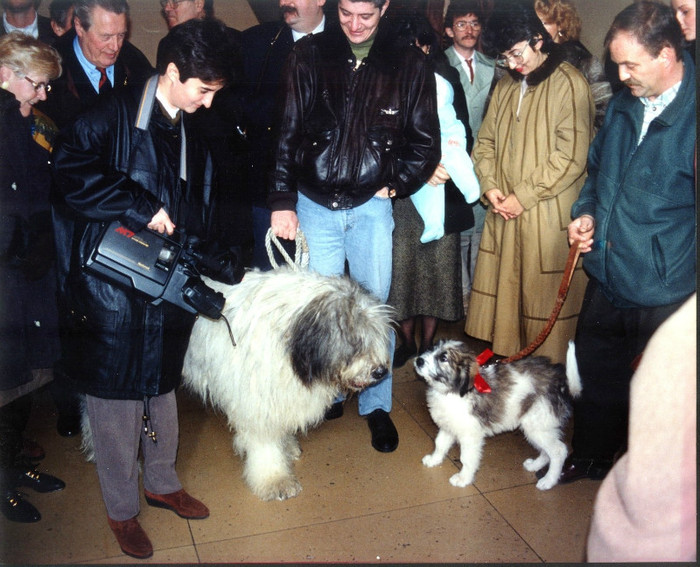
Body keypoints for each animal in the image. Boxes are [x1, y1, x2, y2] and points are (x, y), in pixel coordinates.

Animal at [180, 270, 394, 502]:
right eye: (355, 340)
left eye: (377, 336)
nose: (380, 372)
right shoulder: (257, 401)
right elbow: (264, 445)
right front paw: (274, 481)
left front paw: (287, 445)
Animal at [412, 340, 584, 490]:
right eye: (432, 348)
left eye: (443, 358)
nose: (419, 360)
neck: (452, 391)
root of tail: (561, 382)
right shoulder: (449, 425)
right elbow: (440, 444)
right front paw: (434, 460)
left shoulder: (470, 434)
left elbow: (466, 458)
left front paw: (463, 478)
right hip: (541, 426)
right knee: (547, 451)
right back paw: (535, 466)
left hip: (538, 424)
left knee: (559, 450)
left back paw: (548, 481)